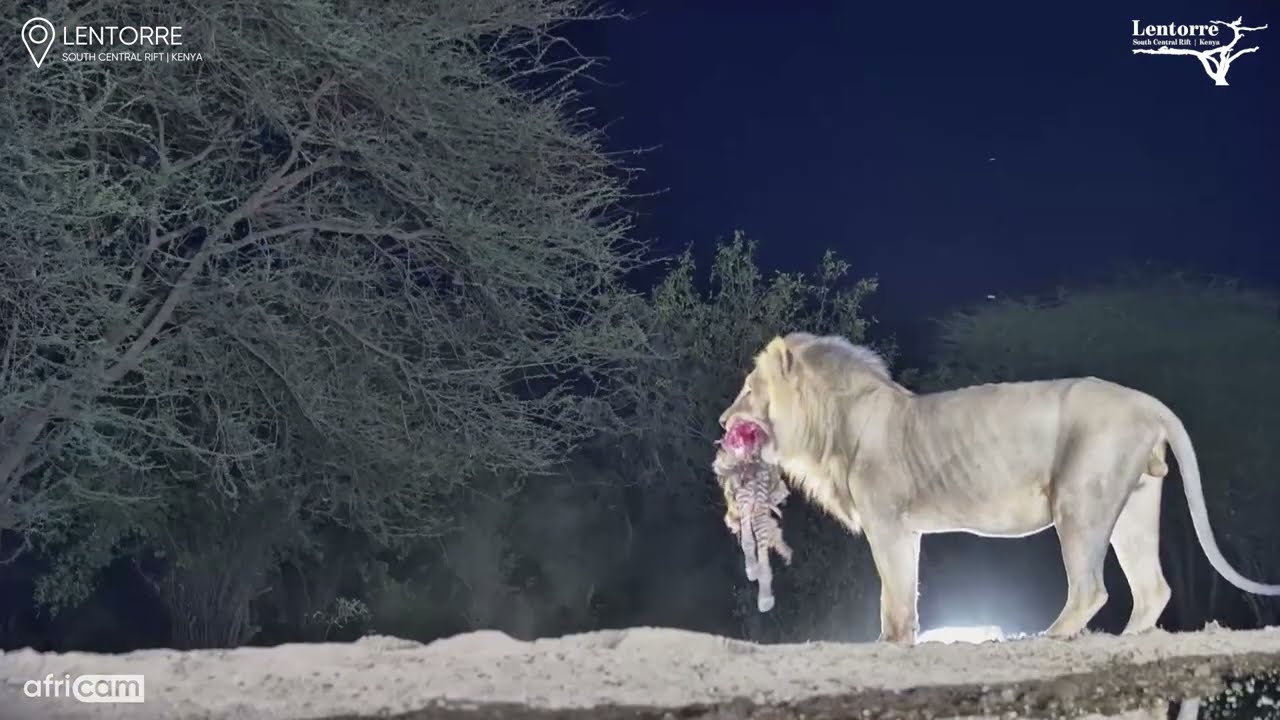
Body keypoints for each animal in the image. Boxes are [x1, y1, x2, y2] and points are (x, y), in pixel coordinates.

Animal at [718, 332, 1280, 646]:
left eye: (747, 390)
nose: (723, 422)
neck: (834, 423)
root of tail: (1149, 402)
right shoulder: (908, 530)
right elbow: (904, 593)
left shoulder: (888, 524)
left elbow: (892, 595)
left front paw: (888, 643)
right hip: (1134, 506)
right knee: (1152, 588)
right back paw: (1126, 641)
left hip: (1079, 500)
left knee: (1092, 589)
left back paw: (1048, 638)